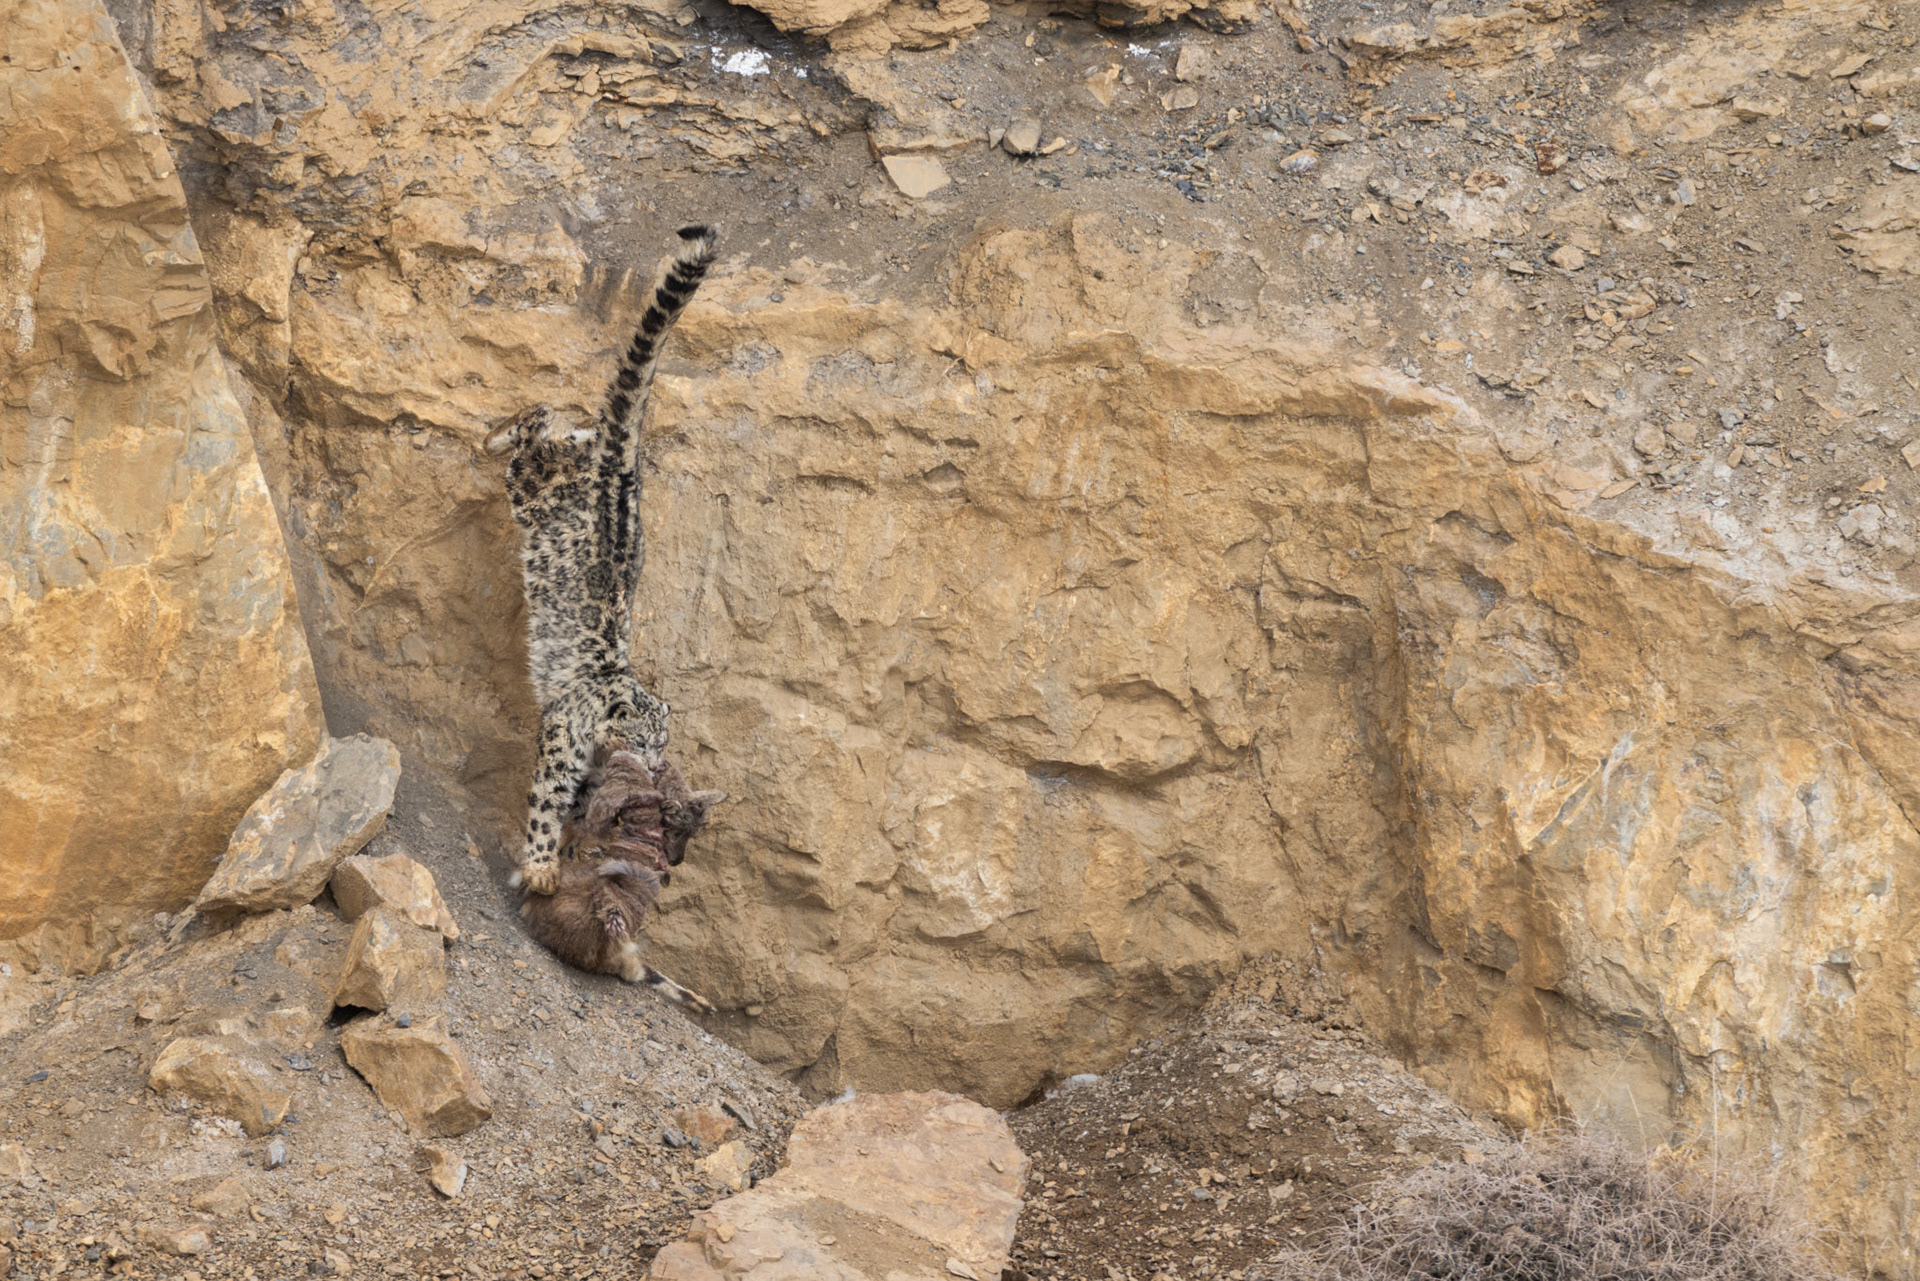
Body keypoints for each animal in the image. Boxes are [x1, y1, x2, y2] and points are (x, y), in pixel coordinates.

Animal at [486, 224, 718, 896]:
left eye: (663, 742)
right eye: (641, 740)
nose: (656, 764)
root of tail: (622, 472)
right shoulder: (563, 745)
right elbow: (545, 805)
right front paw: (541, 868)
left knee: (562, 429)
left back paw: (576, 429)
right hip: (532, 493)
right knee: (532, 435)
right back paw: (510, 432)